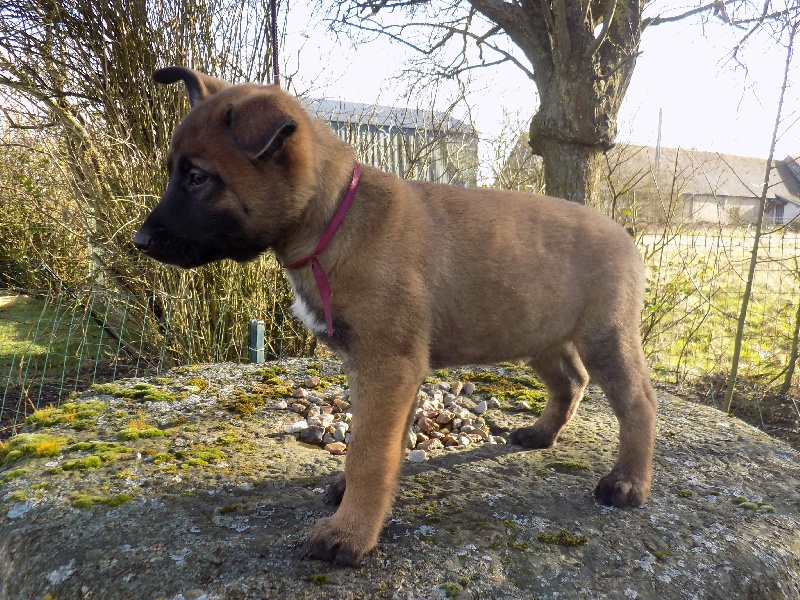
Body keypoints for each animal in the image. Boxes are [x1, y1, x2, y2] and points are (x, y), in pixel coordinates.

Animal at [134, 66, 657, 566]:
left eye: (198, 178)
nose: (139, 242)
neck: (334, 218)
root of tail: (623, 233)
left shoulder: (388, 365)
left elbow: (369, 453)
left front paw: (349, 533)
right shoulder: (383, 368)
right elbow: (378, 443)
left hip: (604, 336)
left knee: (638, 402)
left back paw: (628, 482)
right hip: (538, 331)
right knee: (571, 380)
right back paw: (542, 434)